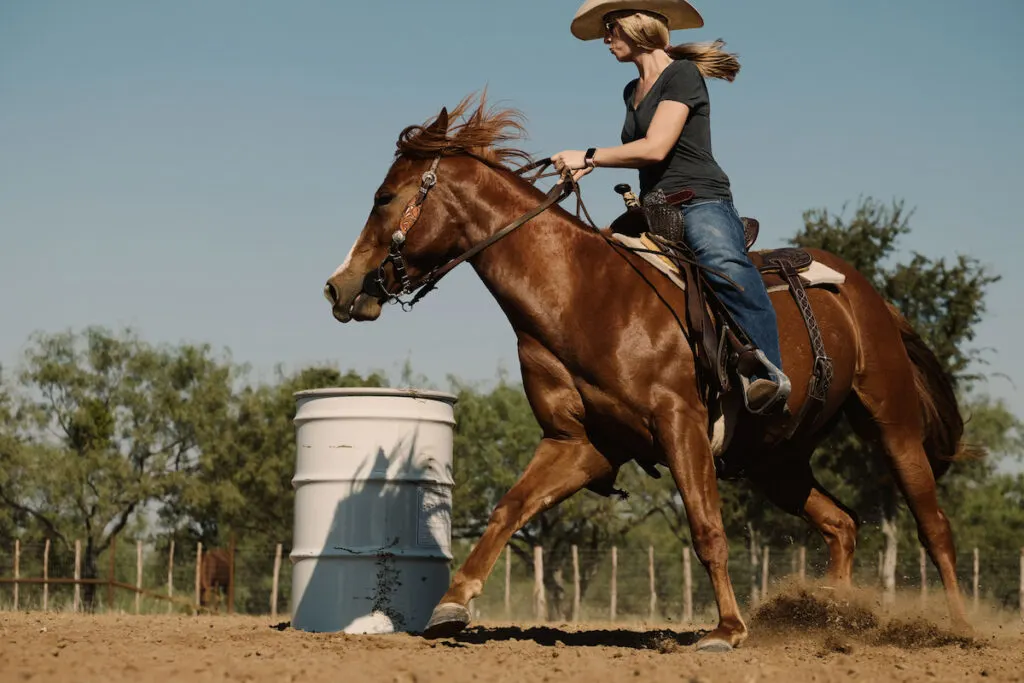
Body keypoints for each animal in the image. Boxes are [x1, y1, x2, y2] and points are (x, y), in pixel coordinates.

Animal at [323, 93, 978, 651]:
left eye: (384, 197)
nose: (338, 286)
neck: (583, 295)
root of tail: (872, 298)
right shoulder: (581, 442)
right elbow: (510, 508)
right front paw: (451, 604)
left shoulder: (680, 424)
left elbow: (707, 527)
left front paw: (728, 630)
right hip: (776, 460)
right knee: (841, 524)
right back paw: (832, 619)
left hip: (892, 425)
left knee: (935, 528)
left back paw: (958, 628)